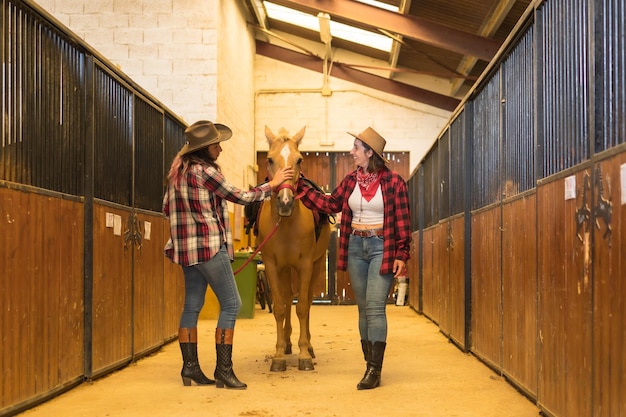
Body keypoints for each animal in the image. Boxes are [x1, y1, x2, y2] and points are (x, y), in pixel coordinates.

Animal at [256, 124, 330, 370]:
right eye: (269, 159)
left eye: (299, 159)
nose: (285, 202)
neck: (286, 224)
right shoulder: (272, 266)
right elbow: (280, 307)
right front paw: (279, 355)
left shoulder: (306, 264)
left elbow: (303, 306)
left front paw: (305, 354)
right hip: (285, 269)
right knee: (288, 298)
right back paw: (288, 344)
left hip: (316, 264)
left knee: (305, 301)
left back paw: (308, 347)